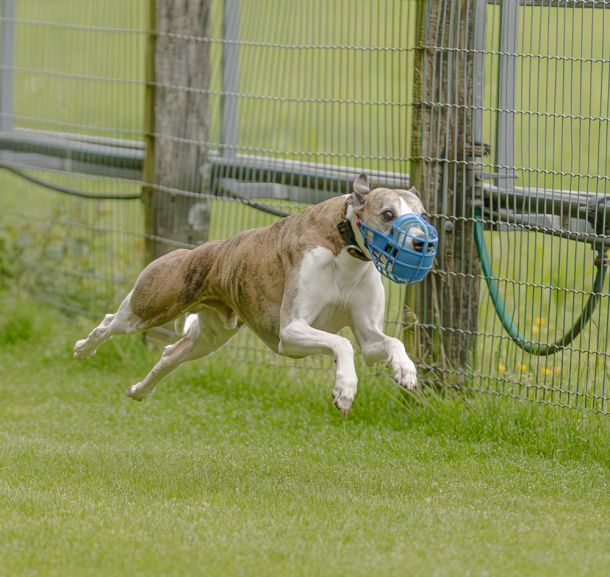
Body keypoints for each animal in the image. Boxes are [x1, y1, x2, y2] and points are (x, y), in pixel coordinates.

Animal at [73, 172, 426, 414]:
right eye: (388, 214)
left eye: (422, 216)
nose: (422, 242)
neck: (345, 248)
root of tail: (196, 251)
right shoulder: (291, 331)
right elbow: (342, 343)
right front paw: (345, 389)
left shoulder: (368, 337)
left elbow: (386, 342)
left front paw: (406, 370)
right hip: (150, 305)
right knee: (110, 321)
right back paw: (83, 349)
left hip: (208, 337)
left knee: (170, 354)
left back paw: (139, 390)